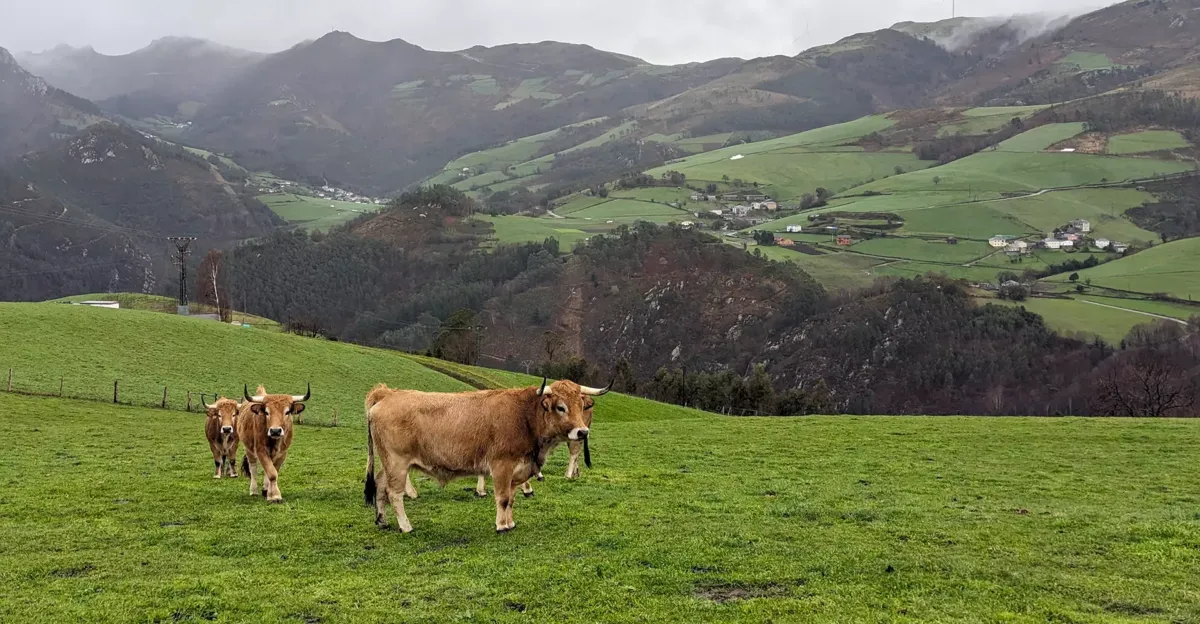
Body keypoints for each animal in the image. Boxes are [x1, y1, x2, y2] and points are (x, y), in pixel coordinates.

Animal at [362, 376, 609, 532]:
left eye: (581, 406)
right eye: (560, 407)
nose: (582, 431)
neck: (524, 416)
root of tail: (386, 394)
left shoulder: (516, 470)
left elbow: (511, 499)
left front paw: (510, 522)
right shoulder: (502, 466)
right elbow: (503, 498)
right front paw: (501, 526)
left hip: (388, 463)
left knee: (380, 486)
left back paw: (382, 520)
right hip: (397, 463)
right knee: (394, 493)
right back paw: (405, 526)